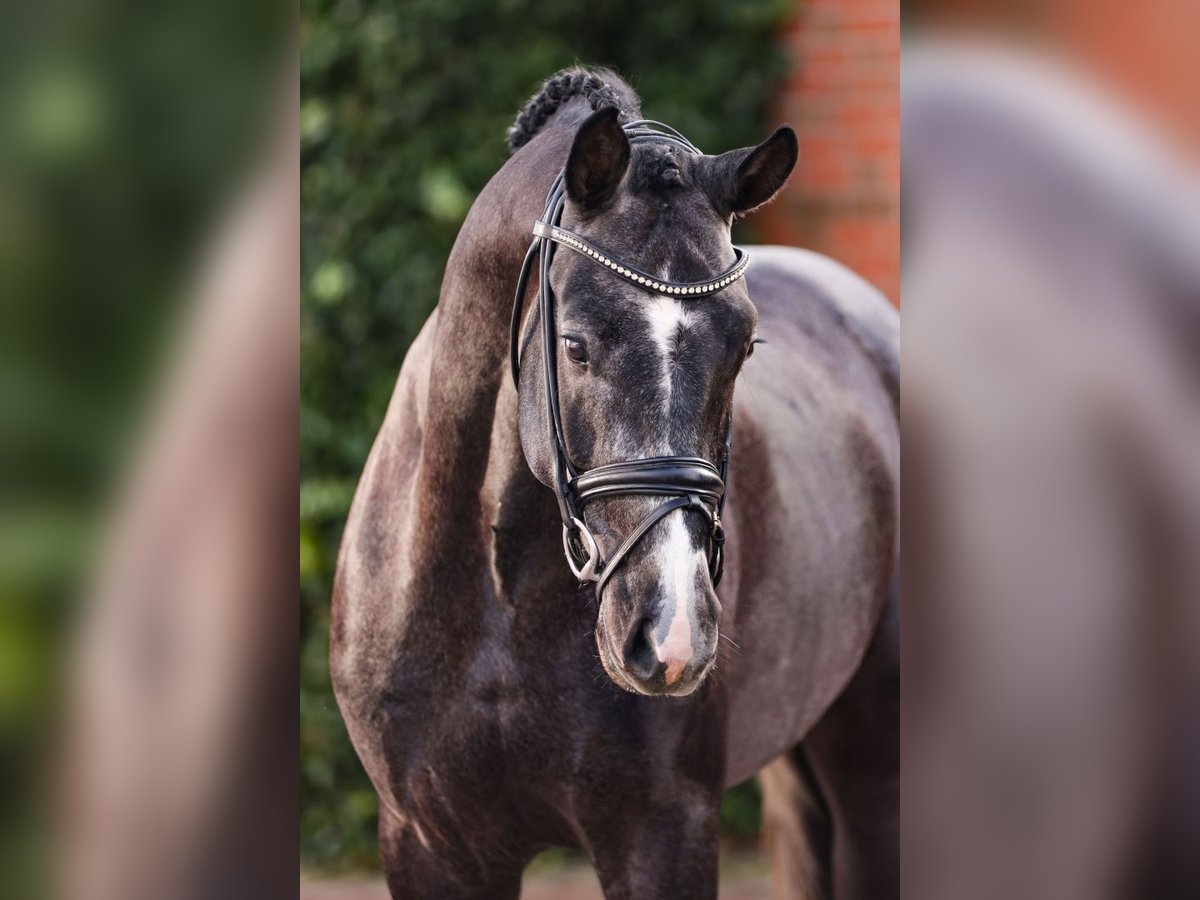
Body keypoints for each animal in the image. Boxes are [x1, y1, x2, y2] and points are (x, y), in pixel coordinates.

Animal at [331, 67, 898, 899]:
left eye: (745, 345)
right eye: (574, 345)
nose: (671, 634)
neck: (496, 591)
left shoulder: (661, 831)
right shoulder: (430, 845)